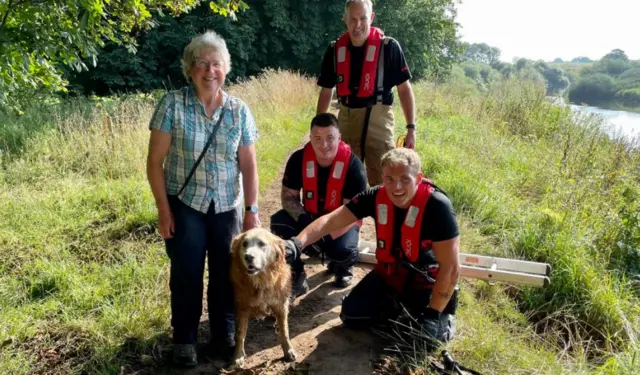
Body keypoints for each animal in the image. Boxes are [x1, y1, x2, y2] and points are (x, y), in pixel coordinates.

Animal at [229, 228, 296, 368]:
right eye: (244, 244)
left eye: (262, 244)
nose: (248, 257)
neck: (261, 282)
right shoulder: (241, 307)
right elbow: (240, 333)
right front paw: (238, 356)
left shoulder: (281, 305)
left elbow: (284, 331)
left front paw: (288, 351)